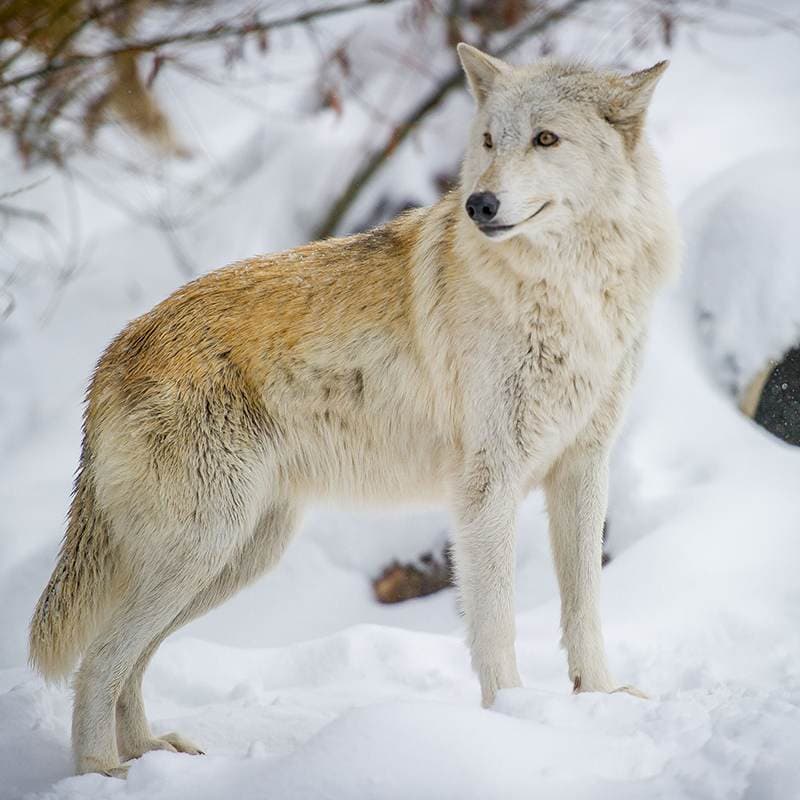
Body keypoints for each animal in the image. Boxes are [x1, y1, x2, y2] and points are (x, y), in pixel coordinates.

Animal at [29, 43, 679, 777]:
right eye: (489, 141)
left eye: (546, 139)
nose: (480, 204)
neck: (568, 290)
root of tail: (111, 356)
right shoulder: (489, 486)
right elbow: (497, 622)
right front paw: (513, 717)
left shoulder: (583, 467)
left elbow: (585, 606)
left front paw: (602, 700)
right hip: (203, 550)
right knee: (98, 661)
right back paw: (102, 772)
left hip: (234, 557)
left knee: (131, 663)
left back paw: (152, 756)